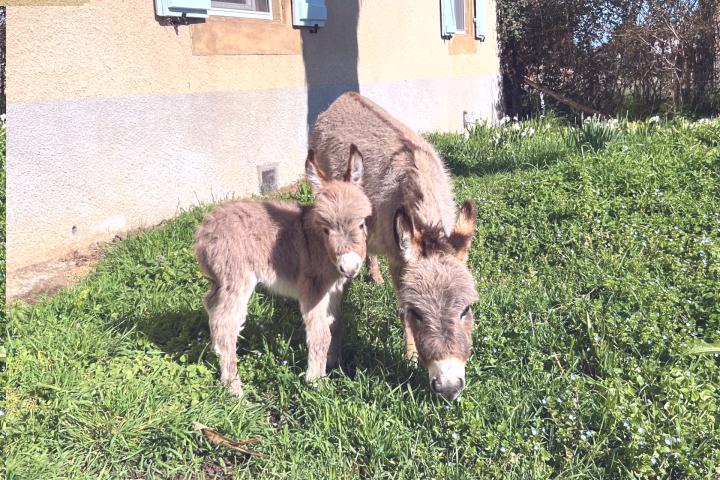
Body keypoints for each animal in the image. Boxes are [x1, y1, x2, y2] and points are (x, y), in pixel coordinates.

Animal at [194, 148, 368, 396]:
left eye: (361, 224)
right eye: (326, 229)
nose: (350, 268)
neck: (319, 244)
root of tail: (205, 229)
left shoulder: (334, 290)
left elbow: (336, 324)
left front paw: (334, 363)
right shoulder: (313, 289)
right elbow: (321, 334)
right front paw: (316, 382)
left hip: (221, 281)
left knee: (211, 305)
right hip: (237, 278)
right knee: (226, 324)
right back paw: (234, 388)